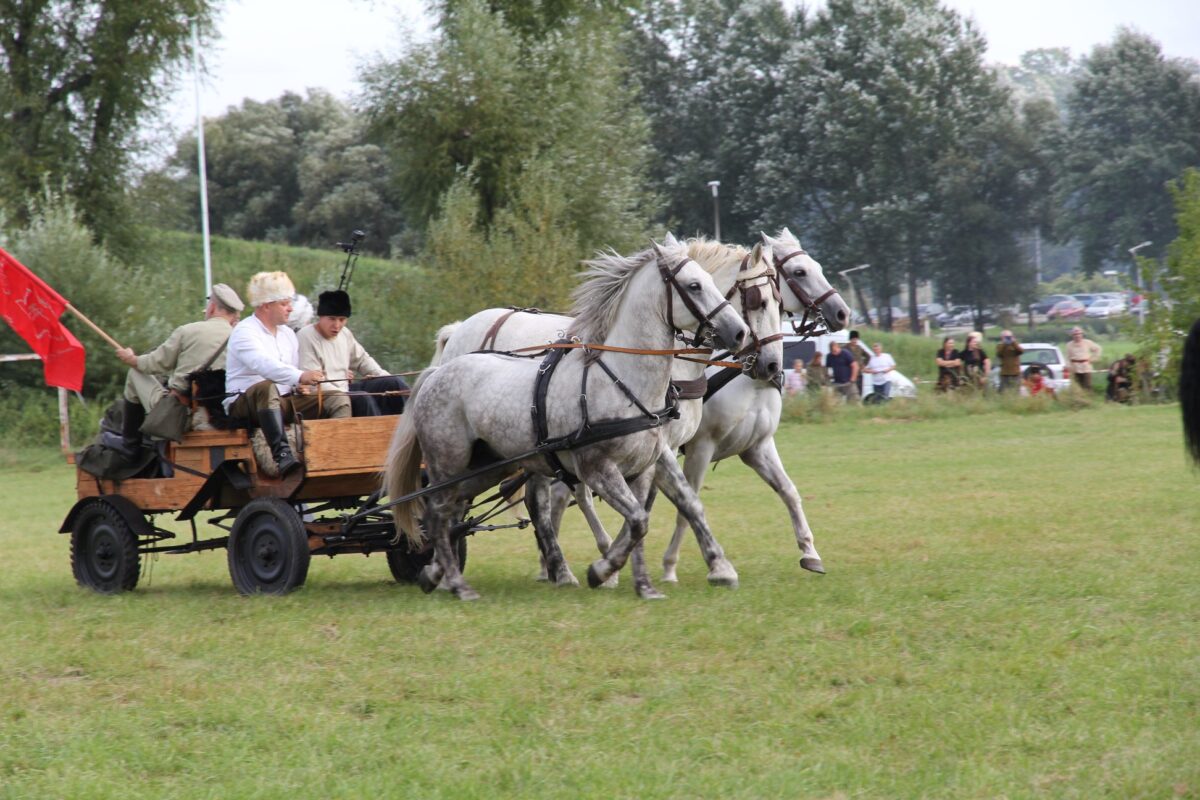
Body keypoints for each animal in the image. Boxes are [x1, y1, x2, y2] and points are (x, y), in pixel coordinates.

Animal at [384, 235, 744, 597]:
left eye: (713, 281)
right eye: (694, 285)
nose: (739, 333)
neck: (621, 382)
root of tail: (437, 372)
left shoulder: (642, 470)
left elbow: (640, 523)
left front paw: (644, 586)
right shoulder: (598, 469)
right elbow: (637, 520)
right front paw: (602, 570)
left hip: (486, 466)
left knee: (453, 510)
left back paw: (436, 574)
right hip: (448, 463)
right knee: (438, 512)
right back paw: (458, 583)